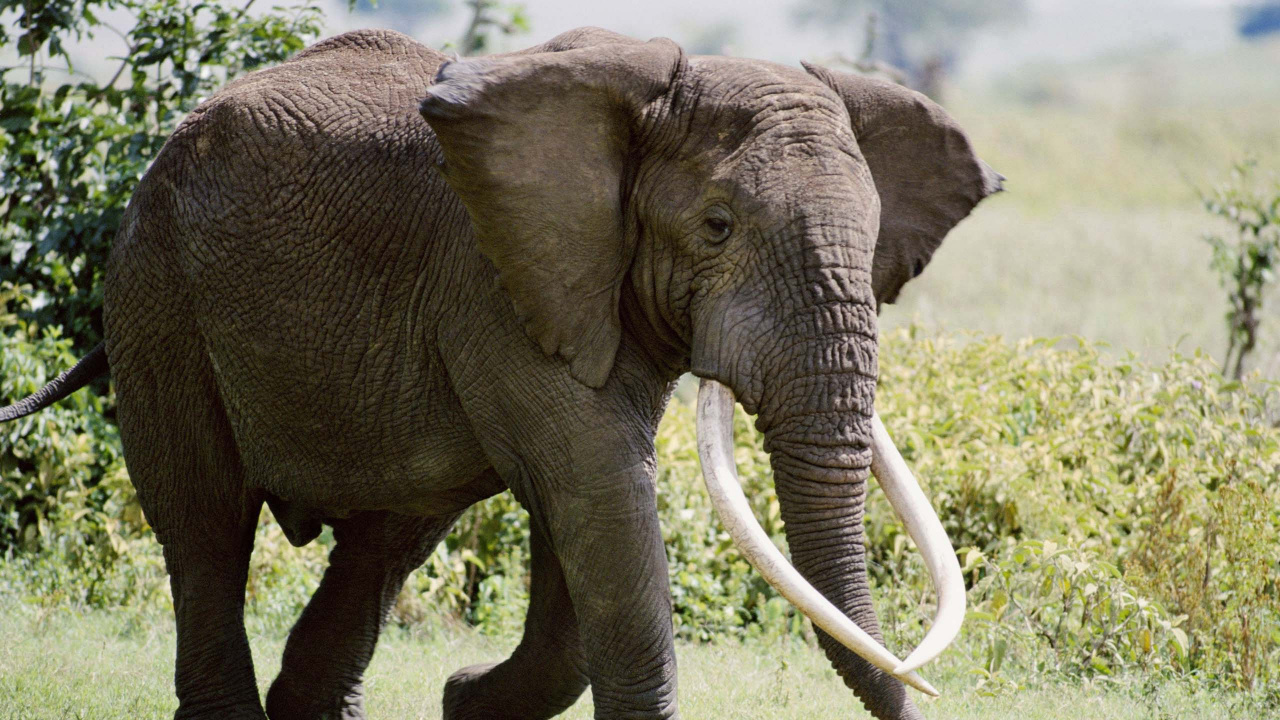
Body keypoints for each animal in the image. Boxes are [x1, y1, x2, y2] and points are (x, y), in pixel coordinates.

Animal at [0, 26, 1001, 720]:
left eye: (872, 245)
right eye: (717, 227)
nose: (926, 696)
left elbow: (587, 524)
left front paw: (463, 698)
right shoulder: (499, 281)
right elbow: (600, 496)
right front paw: (467, 694)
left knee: (386, 540)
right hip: (159, 294)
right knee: (205, 521)